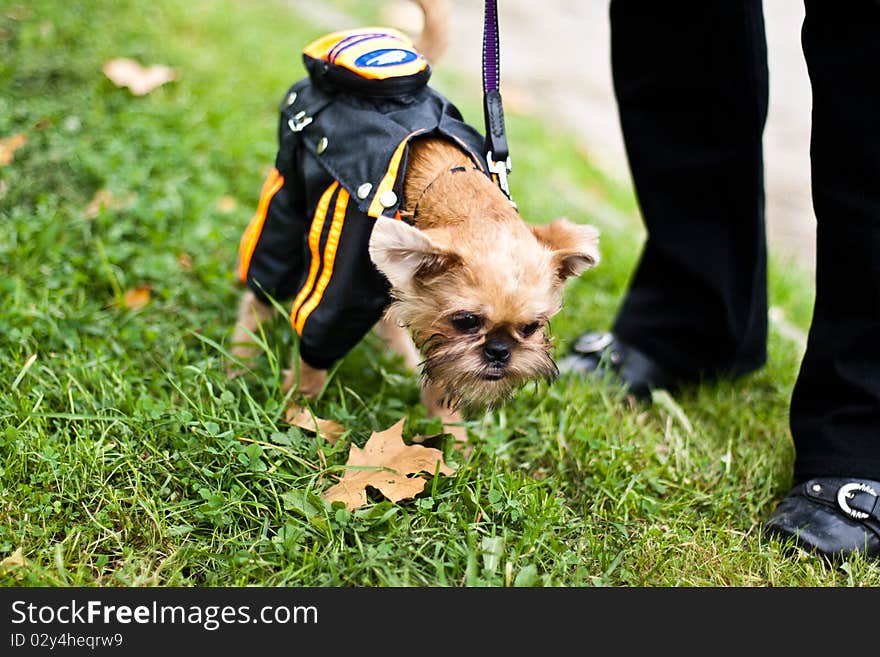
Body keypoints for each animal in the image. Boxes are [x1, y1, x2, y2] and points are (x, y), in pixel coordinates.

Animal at [229, 2, 600, 440]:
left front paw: (453, 439)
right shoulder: (341, 296)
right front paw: (301, 410)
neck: (445, 181)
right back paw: (240, 357)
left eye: (530, 328)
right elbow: (317, 349)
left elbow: (444, 379)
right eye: (466, 321)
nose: (500, 351)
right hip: (286, 197)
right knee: (262, 286)